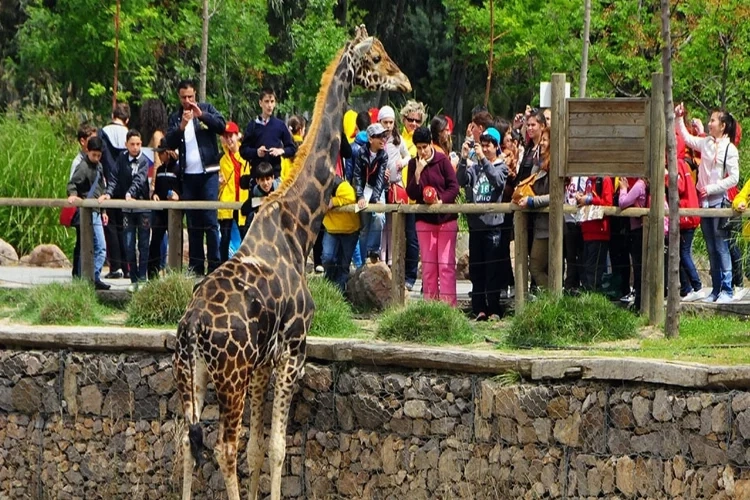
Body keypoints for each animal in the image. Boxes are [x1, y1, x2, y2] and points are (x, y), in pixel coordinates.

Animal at [174, 24, 414, 500]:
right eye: (376, 58)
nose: (406, 82)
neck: (299, 227)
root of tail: (191, 327)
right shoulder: (293, 350)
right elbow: (278, 448)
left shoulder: (264, 361)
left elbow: (257, 448)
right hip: (229, 374)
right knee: (221, 446)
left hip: (192, 374)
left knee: (186, 442)